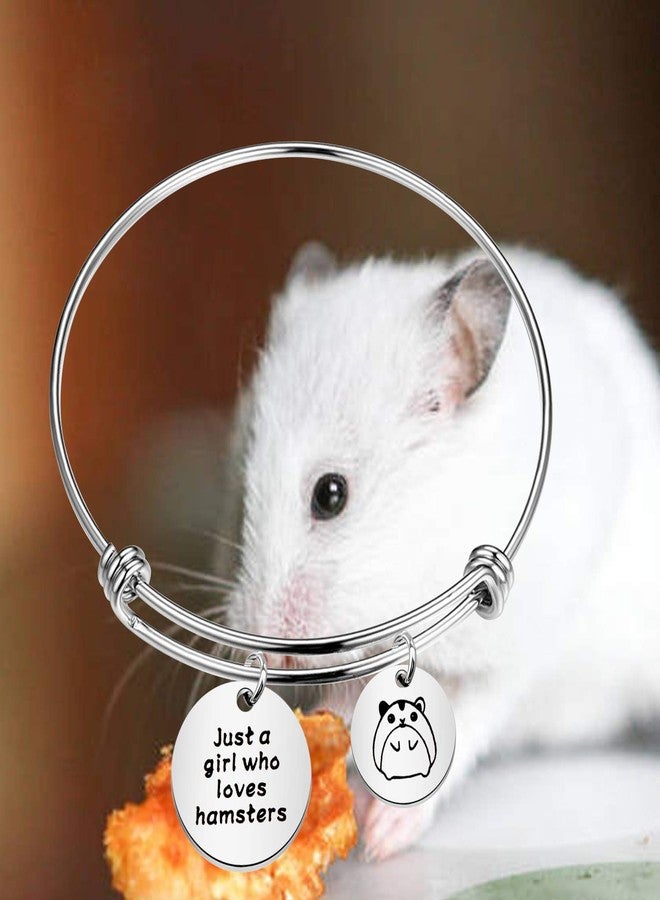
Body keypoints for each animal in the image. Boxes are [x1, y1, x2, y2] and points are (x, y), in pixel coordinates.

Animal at [209, 240, 660, 860]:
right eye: (239, 491)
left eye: (331, 495)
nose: (272, 659)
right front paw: (330, 730)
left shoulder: (519, 649)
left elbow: (471, 719)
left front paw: (381, 840)